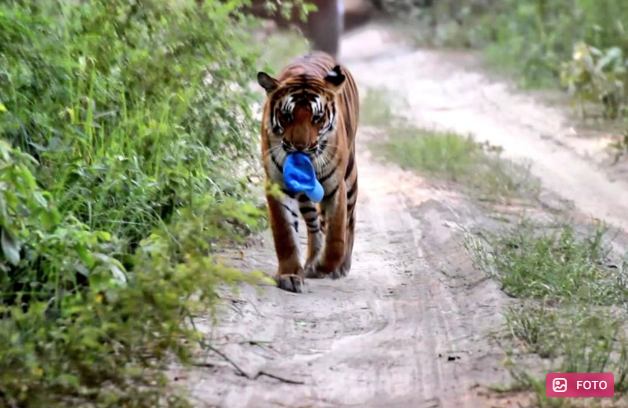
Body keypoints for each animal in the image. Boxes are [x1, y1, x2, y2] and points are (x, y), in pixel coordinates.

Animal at [256, 51, 358, 294]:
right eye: (287, 116)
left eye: (317, 118)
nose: (300, 147)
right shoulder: (278, 186)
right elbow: (285, 234)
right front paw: (291, 275)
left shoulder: (335, 187)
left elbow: (336, 238)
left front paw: (324, 266)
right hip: (306, 197)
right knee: (314, 226)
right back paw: (311, 260)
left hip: (350, 176)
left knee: (350, 220)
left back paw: (341, 266)